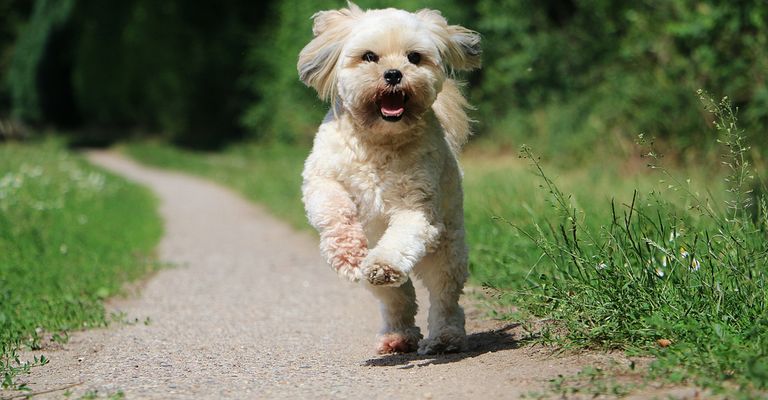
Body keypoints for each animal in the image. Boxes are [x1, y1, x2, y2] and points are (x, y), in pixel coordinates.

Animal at [296, 2, 480, 354]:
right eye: (370, 56)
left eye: (414, 57)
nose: (394, 74)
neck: (379, 140)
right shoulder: (322, 178)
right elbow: (334, 209)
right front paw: (347, 253)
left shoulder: (417, 209)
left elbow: (402, 237)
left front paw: (384, 265)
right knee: (398, 299)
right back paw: (397, 336)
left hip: (447, 252)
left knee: (444, 298)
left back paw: (445, 337)